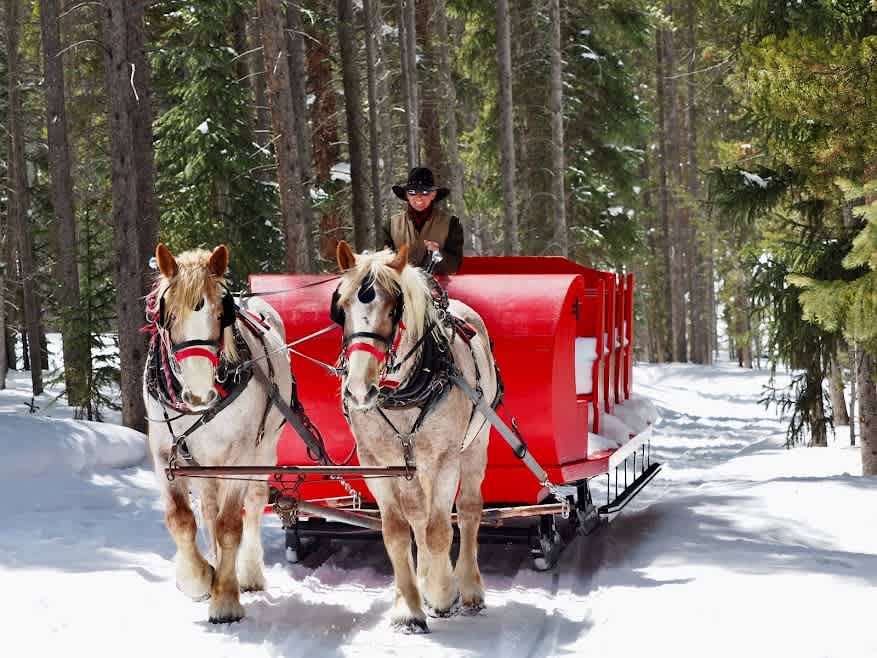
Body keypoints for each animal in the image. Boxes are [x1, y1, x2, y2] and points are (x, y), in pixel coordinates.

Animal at [144, 243, 293, 624]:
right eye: (167, 315)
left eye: (219, 313)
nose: (198, 394)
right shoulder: (165, 455)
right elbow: (181, 520)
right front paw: (198, 578)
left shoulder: (239, 457)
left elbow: (230, 526)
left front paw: (225, 598)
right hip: (204, 463)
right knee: (209, 510)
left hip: (263, 450)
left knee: (252, 506)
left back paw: (249, 573)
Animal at [332, 240, 499, 633]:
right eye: (341, 308)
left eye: (394, 309)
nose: (358, 390)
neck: (402, 393)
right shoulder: (377, 464)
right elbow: (397, 531)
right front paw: (408, 606)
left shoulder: (445, 459)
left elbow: (440, 530)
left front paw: (442, 594)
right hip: (410, 467)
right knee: (419, 517)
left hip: (475, 445)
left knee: (467, 511)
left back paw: (467, 587)